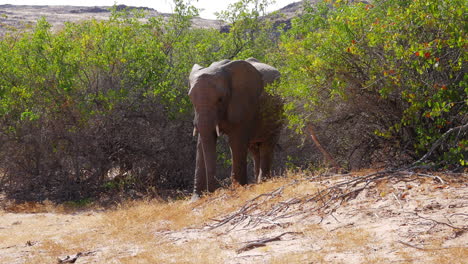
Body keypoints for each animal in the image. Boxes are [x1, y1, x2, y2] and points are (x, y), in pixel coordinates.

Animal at [188, 57, 284, 198]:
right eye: (191, 98)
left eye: (220, 99)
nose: (213, 192)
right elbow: (201, 143)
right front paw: (196, 199)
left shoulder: (244, 104)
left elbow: (236, 142)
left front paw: (239, 189)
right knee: (254, 149)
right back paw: (257, 183)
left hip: (278, 115)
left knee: (267, 146)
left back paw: (264, 182)